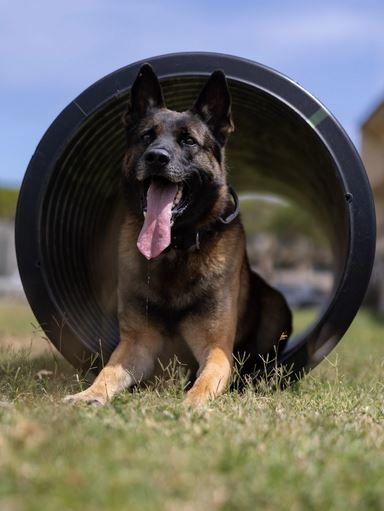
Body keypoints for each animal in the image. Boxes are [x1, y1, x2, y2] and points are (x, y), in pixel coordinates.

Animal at [64, 64, 292, 408]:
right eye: (147, 137)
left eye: (188, 141)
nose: (156, 157)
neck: (176, 249)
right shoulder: (137, 344)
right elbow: (108, 371)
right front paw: (87, 395)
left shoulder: (216, 350)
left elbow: (204, 381)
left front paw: (190, 404)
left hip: (277, 308)